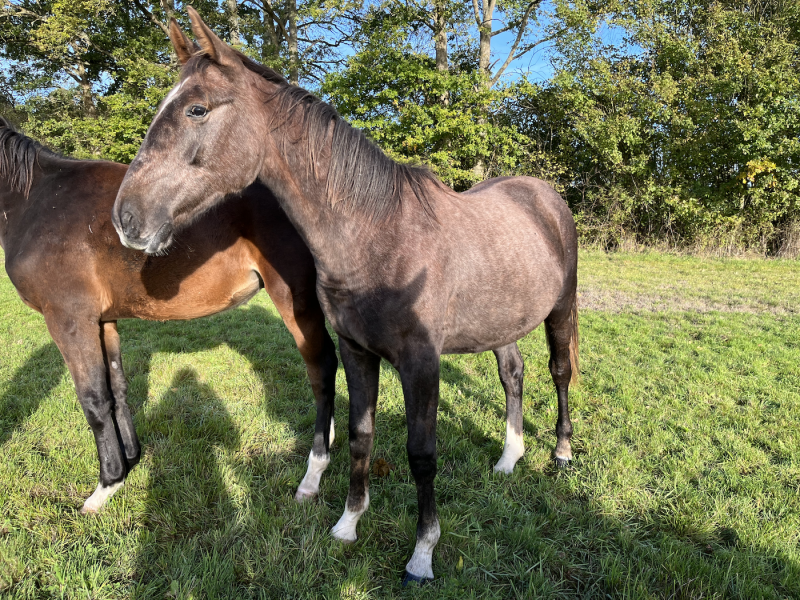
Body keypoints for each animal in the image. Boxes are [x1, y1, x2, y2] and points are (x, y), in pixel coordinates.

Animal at [0, 118, 338, 516]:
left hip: (294, 300)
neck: (35, 199)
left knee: (321, 370)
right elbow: (118, 389)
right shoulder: (103, 321)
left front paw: (106, 485)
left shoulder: (69, 321)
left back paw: (313, 474)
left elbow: (93, 400)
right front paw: (131, 461)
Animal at [112, 11, 580, 584]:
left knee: (560, 371)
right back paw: (510, 458)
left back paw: (561, 451)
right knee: (512, 374)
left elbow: (421, 453)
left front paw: (422, 553)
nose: (127, 218)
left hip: (561, 309)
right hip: (500, 322)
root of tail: (545, 195)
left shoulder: (421, 363)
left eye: (196, 108)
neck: (378, 234)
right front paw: (348, 523)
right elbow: (360, 436)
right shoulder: (357, 353)